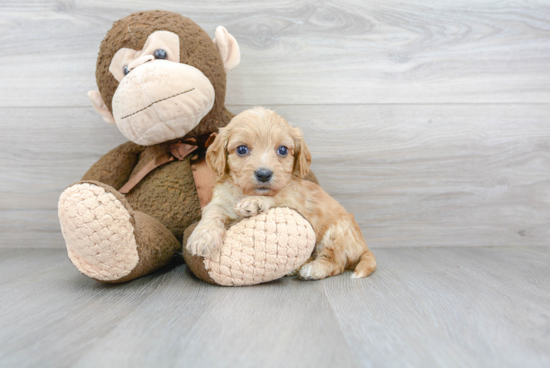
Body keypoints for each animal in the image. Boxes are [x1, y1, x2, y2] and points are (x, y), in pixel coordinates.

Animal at [188, 108, 378, 280]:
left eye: (283, 150)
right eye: (242, 149)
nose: (264, 174)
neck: (246, 192)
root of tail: (364, 247)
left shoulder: (295, 201)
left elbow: (276, 196)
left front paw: (256, 201)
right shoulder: (221, 199)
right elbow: (213, 210)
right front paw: (202, 237)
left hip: (336, 233)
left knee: (336, 263)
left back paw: (313, 269)